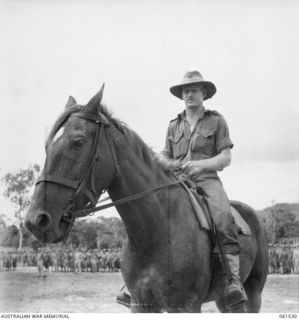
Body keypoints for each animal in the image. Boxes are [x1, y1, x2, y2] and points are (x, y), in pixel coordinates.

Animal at [25, 87, 270, 312]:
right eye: (47, 145)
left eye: (78, 142)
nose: (36, 221)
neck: (156, 230)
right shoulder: (141, 303)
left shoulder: (186, 305)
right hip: (224, 301)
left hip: (253, 293)